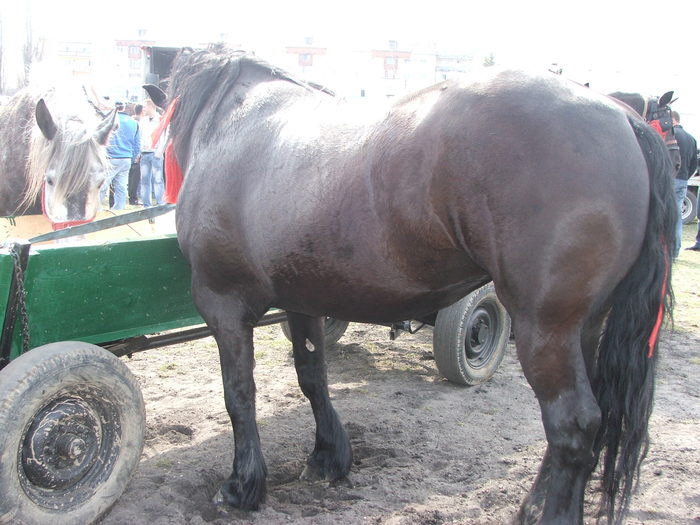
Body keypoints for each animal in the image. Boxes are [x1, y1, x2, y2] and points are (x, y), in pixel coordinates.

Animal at [145, 46, 676, 524]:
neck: (232, 127)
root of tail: (621, 117)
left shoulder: (224, 306)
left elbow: (239, 394)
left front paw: (242, 486)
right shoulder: (303, 302)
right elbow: (312, 376)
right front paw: (327, 458)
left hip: (545, 328)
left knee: (573, 425)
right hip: (584, 327)